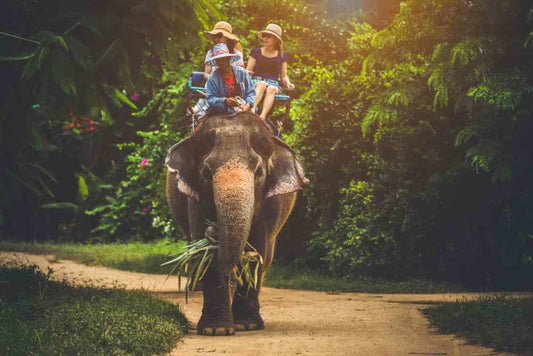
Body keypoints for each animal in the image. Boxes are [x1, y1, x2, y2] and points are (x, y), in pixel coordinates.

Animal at [166, 112, 308, 336]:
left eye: (259, 172)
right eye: (206, 173)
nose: (213, 230)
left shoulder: (271, 204)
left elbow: (258, 252)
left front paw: (246, 325)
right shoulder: (194, 201)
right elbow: (205, 255)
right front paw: (216, 330)